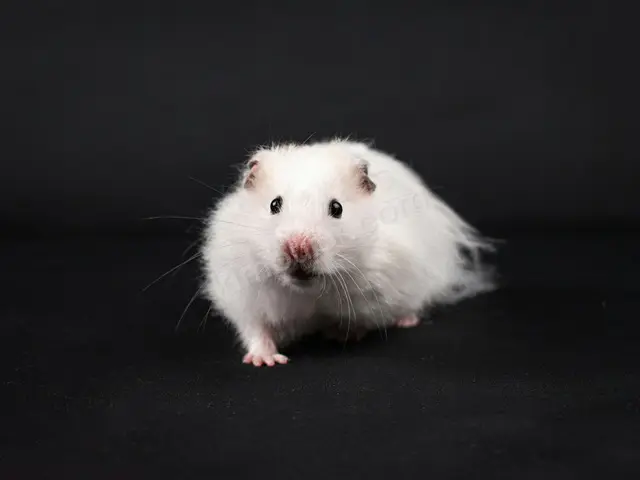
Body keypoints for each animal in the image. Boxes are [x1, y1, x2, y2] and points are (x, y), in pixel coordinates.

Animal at [200, 138, 496, 366]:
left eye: (337, 208)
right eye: (274, 204)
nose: (298, 248)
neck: (308, 292)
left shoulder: (380, 286)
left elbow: (366, 318)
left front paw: (341, 334)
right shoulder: (243, 291)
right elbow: (256, 329)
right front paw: (266, 361)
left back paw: (406, 320)